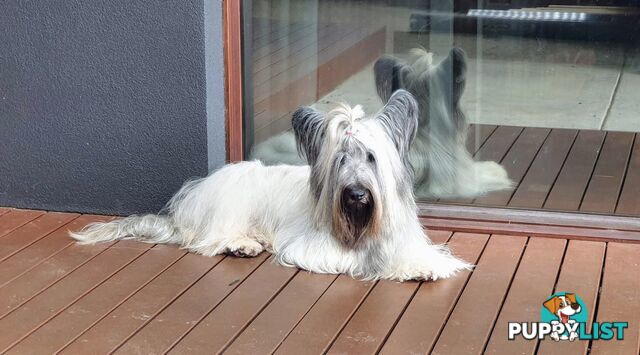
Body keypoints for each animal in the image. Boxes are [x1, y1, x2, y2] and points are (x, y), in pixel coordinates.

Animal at [71, 90, 470, 282]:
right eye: (341, 159)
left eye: (370, 157)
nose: (356, 193)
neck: (359, 224)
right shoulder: (313, 247)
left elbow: (418, 256)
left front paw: (421, 267)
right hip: (232, 198)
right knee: (208, 239)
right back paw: (241, 244)